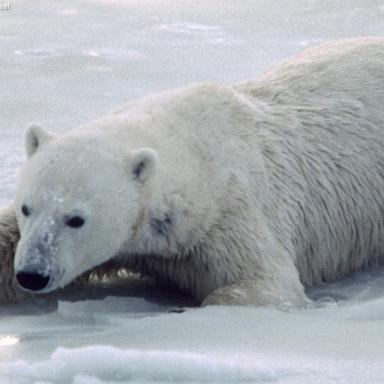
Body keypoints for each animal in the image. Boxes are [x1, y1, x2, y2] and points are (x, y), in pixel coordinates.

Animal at [0, 36, 384, 306]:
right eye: (26, 208)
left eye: (76, 219)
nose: (32, 274)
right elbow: (6, 240)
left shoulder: (231, 215)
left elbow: (266, 282)